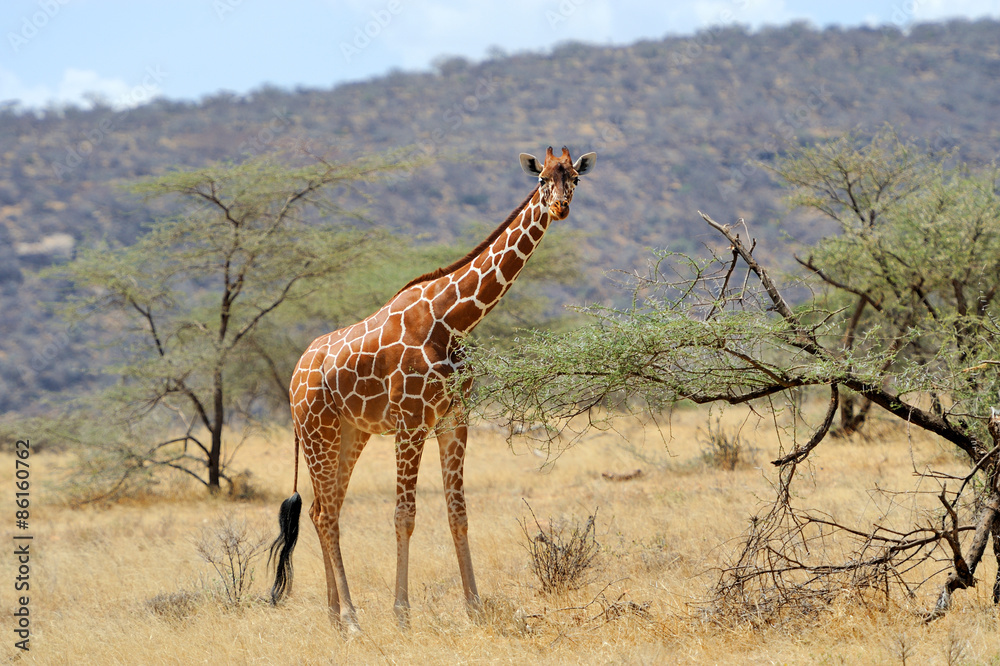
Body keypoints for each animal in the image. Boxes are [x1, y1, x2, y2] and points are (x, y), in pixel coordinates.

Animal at [268, 146, 596, 633]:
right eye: (541, 179)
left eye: (574, 177)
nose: (560, 207)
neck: (453, 320)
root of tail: (294, 375)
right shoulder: (411, 422)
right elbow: (404, 515)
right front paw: (402, 614)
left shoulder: (453, 419)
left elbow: (458, 512)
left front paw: (475, 607)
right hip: (316, 432)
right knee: (326, 514)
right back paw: (351, 618)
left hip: (350, 433)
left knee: (322, 510)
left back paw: (334, 616)